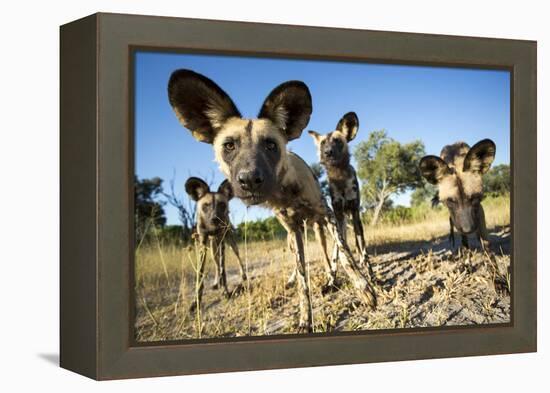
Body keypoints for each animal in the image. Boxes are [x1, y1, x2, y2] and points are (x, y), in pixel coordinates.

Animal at [185, 175, 248, 310]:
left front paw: (225, 292)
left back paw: (243, 276)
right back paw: (215, 282)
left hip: (230, 244)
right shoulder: (203, 243)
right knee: (216, 265)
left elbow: (223, 270)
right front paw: (196, 301)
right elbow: (201, 274)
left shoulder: (221, 239)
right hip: (213, 249)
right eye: (206, 205)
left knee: (237, 258)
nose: (215, 219)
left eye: (222, 205)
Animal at [310, 112, 376, 280]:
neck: (339, 177)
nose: (327, 152)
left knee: (359, 246)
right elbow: (338, 252)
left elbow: (363, 250)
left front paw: (371, 276)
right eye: (323, 144)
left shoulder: (355, 213)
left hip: (353, 220)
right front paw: (332, 279)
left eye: (337, 141)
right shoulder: (338, 216)